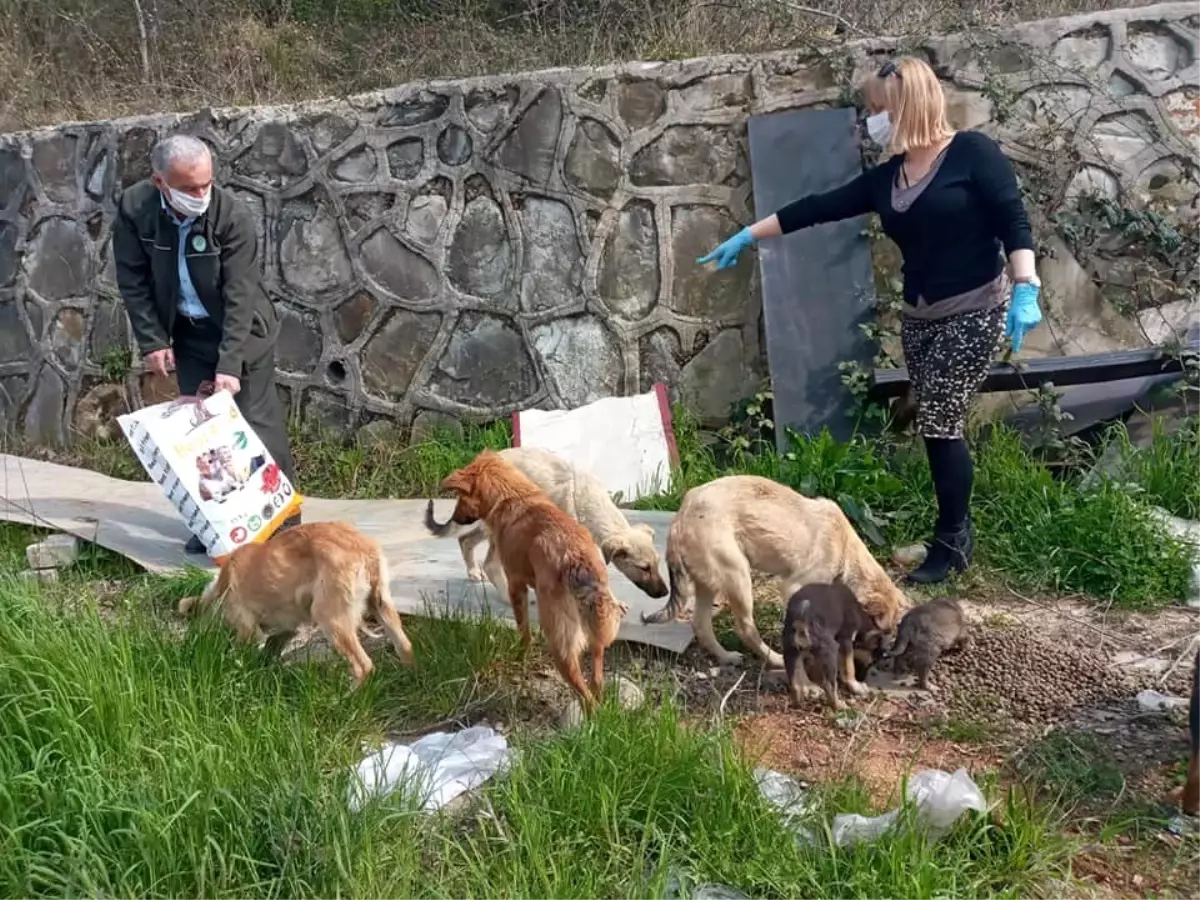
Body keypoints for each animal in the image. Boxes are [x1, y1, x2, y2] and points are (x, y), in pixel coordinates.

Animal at [175, 518, 415, 686]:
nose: (189, 648)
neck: (220, 588)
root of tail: (364, 548)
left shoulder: (248, 629)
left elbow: (242, 651)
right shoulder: (288, 628)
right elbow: (271, 647)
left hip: (330, 617)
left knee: (363, 666)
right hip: (382, 606)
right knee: (405, 647)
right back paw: (406, 678)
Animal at [424, 448, 672, 602]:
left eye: (657, 564)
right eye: (643, 568)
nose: (664, 593)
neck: (587, 502)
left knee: (465, 539)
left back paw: (473, 572)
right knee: (489, 562)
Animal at [436, 451, 633, 710]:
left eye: (460, 497)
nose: (454, 518)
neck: (512, 496)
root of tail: (576, 560)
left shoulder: (516, 584)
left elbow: (524, 632)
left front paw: (520, 657)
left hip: (559, 638)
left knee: (584, 692)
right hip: (595, 634)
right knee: (597, 679)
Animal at [648, 475, 907, 672]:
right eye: (880, 632)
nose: (883, 656)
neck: (846, 553)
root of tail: (680, 517)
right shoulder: (795, 588)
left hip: (709, 583)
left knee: (701, 624)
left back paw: (727, 657)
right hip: (738, 575)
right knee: (745, 628)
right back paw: (774, 659)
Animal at [782, 580, 888, 715]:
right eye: (871, 662)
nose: (863, 679)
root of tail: (802, 617)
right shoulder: (845, 640)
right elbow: (849, 667)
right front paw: (855, 685)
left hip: (790, 651)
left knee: (795, 684)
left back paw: (798, 704)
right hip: (829, 650)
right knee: (829, 685)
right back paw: (839, 706)